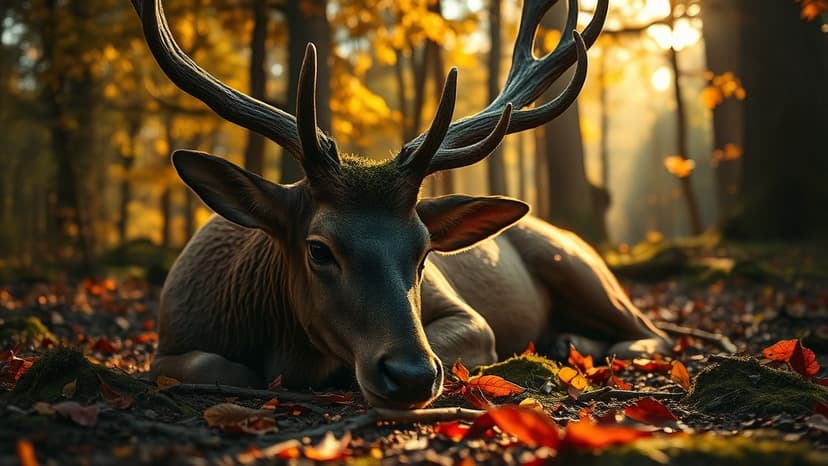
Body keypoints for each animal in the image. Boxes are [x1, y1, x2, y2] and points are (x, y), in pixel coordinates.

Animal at [132, 0, 669, 409]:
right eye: (318, 249)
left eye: (425, 252)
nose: (411, 374)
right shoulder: (170, 337)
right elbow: (204, 363)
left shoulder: (473, 321)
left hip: (581, 267)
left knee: (651, 329)